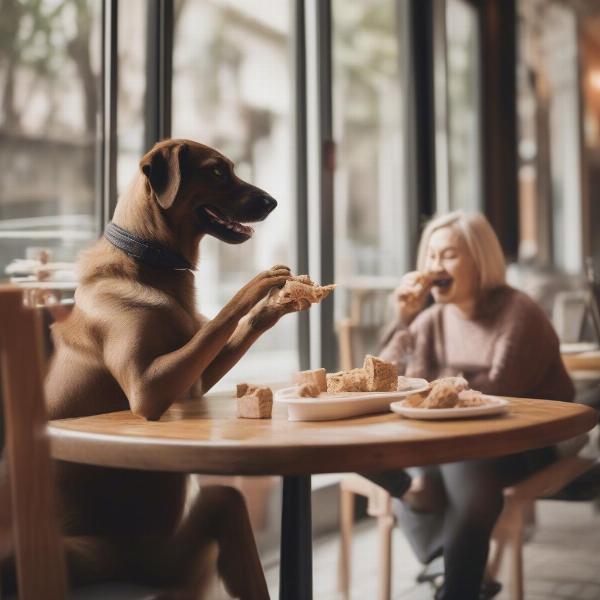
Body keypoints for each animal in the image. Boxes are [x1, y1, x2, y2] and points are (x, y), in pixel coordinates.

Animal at [41, 139, 304, 596]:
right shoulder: (148, 388)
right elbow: (220, 318)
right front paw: (256, 286)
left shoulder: (193, 378)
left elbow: (222, 331)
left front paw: (273, 306)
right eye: (217, 172)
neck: (152, 262)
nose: (273, 202)